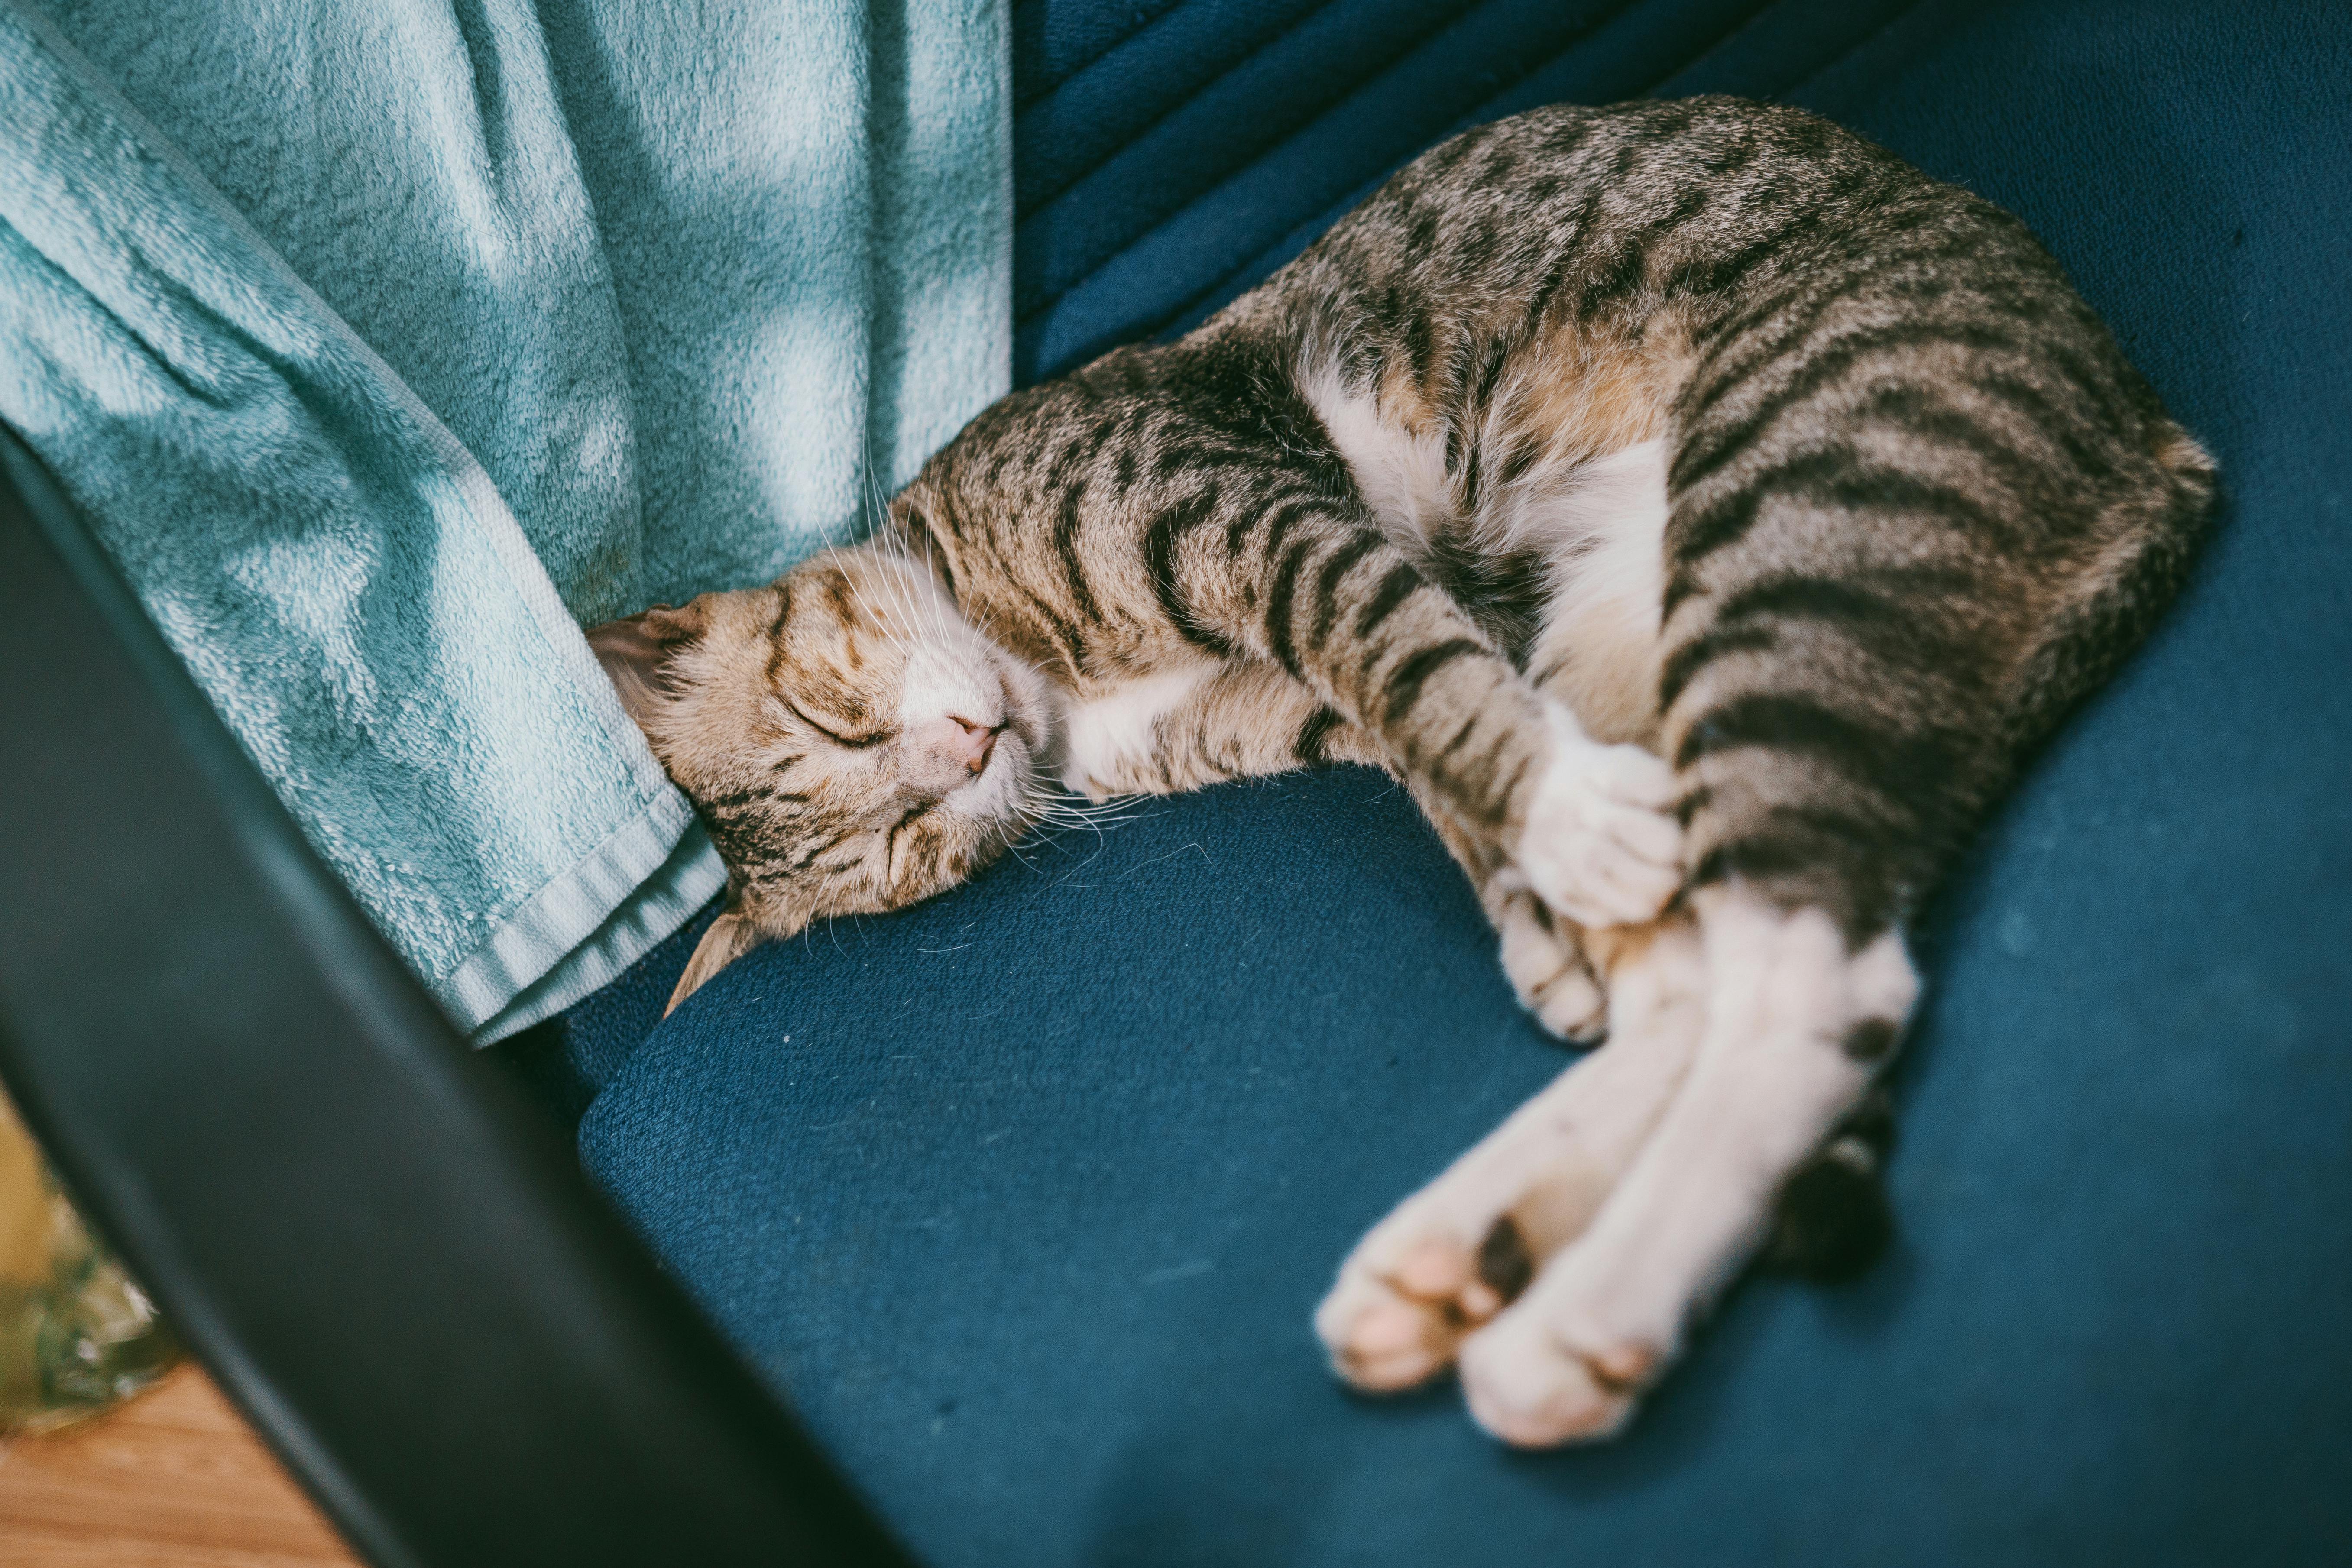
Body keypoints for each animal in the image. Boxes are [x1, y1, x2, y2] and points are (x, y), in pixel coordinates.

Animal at [597, 98, 2211, 1448]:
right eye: (910, 849)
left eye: (828, 719)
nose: (965, 753)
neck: (1053, 691)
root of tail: (2159, 438)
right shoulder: (1291, 700)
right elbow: (1431, 726)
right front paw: (1542, 902)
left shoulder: (1242, 507)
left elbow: (1400, 654)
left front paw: (1557, 833)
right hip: (1627, 629)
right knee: (1701, 977)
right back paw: (1463, 1251)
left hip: (1795, 516)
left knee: (1811, 987)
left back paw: (1571, 1319)